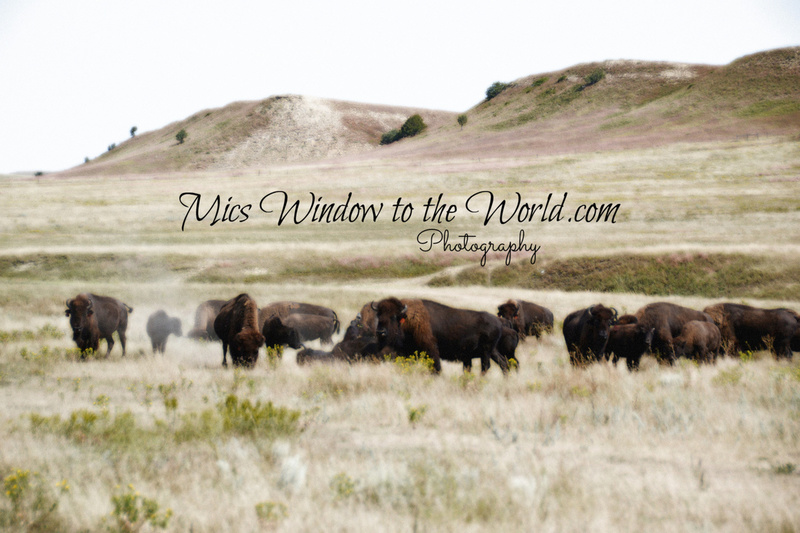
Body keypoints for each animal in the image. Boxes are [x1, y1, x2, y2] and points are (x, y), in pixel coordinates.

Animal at [373, 297, 509, 374]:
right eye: (379, 315)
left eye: (393, 317)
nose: (380, 332)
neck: (407, 320)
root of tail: (498, 321)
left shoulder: (431, 350)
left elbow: (436, 368)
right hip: (492, 351)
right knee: (503, 364)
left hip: (486, 351)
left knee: (486, 367)